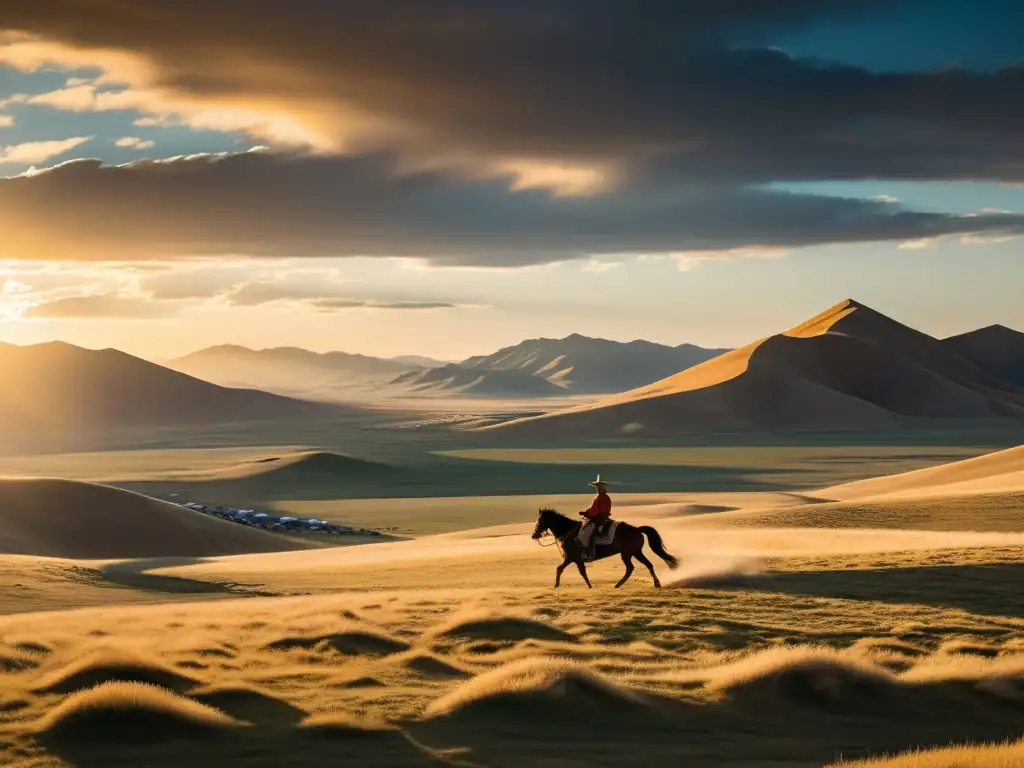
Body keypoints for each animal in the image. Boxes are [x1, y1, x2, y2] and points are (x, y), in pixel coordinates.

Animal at [532, 512, 675, 589]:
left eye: (539, 521)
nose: (534, 535)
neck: (568, 531)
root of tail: (637, 529)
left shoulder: (573, 557)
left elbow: (578, 572)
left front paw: (589, 587)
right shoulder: (573, 558)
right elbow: (563, 569)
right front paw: (556, 585)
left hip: (631, 553)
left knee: (640, 566)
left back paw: (655, 583)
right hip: (631, 553)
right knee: (636, 567)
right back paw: (620, 585)